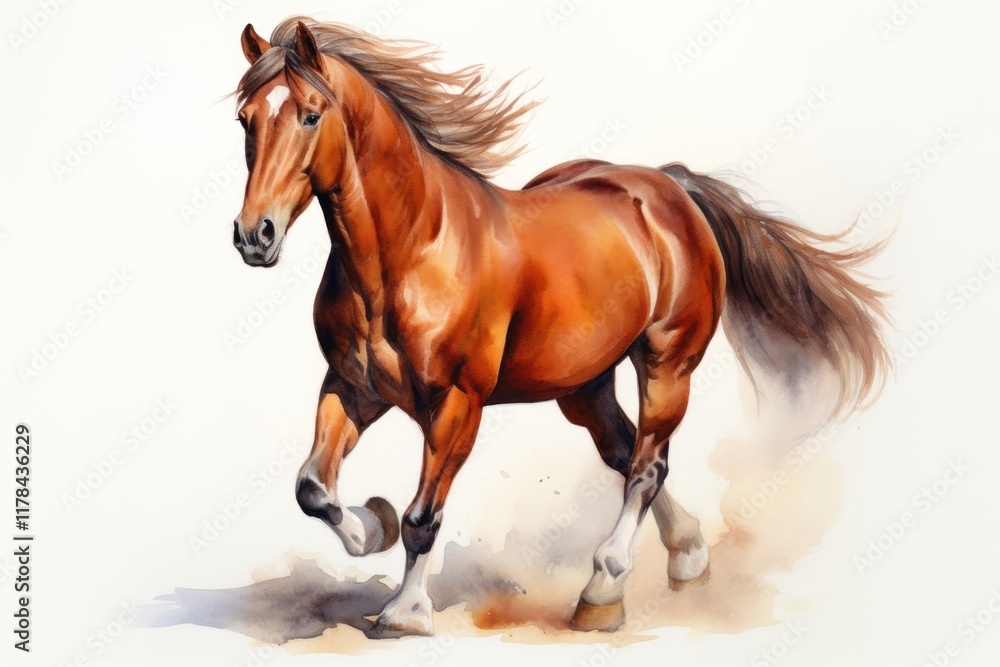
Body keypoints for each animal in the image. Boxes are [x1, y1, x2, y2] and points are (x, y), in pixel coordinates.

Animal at [230, 17, 889, 637]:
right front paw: (374, 525)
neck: (410, 252)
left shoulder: (455, 405)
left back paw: (603, 592)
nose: (253, 236)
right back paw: (688, 556)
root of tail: (670, 186)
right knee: (627, 453)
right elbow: (313, 489)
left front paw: (406, 612)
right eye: (245, 120)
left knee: (646, 467)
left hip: (667, 365)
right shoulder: (352, 388)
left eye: (311, 115)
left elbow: (422, 518)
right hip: (584, 386)